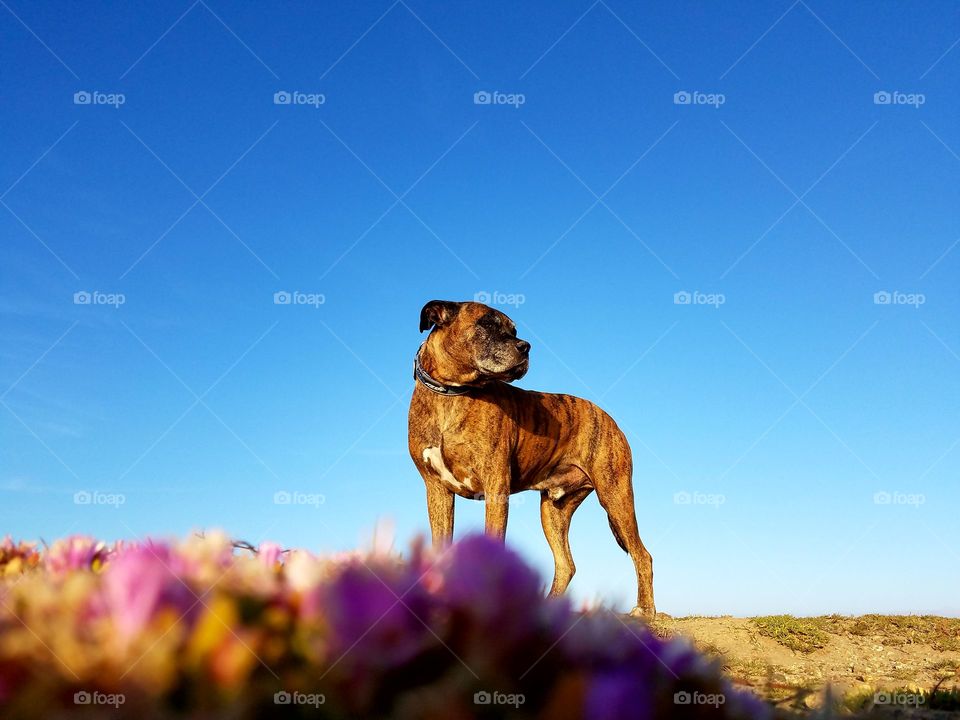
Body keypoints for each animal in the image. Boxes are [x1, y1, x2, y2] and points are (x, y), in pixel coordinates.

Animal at [408, 300, 656, 616]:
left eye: (514, 330)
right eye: (486, 323)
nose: (525, 346)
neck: (450, 394)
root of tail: (608, 417)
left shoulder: (496, 487)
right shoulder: (437, 491)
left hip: (616, 496)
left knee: (641, 554)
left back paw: (645, 609)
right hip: (554, 511)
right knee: (566, 564)